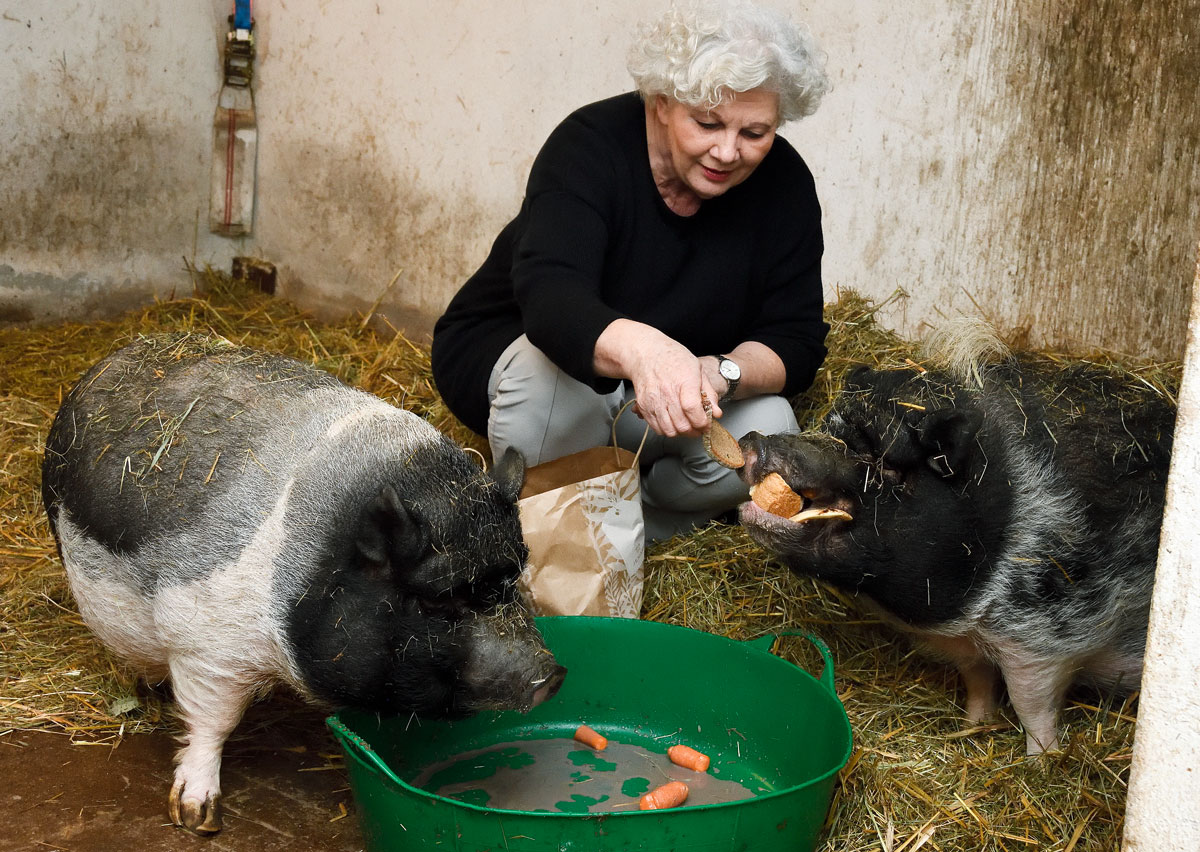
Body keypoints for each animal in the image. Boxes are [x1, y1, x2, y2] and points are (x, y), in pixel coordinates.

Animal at [37, 333, 561, 835]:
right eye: (438, 600)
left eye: (515, 575)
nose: (552, 674)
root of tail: (108, 360)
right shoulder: (206, 642)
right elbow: (212, 720)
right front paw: (198, 820)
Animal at [739, 321, 1171, 753]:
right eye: (829, 425)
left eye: (882, 460)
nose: (753, 441)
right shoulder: (966, 642)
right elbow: (978, 680)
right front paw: (974, 725)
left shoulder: (1047, 634)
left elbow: (1031, 706)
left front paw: (1041, 758)